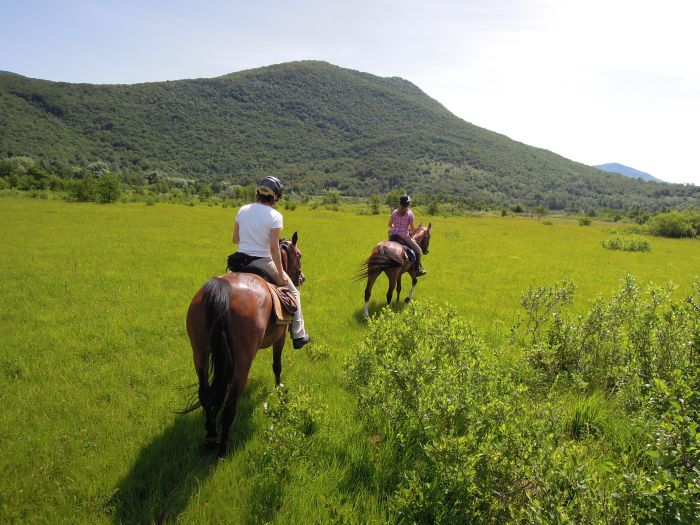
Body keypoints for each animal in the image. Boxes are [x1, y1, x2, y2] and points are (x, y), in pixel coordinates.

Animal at [185, 231, 304, 456]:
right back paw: (222, 450)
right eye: (299, 255)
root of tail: (222, 290)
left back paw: (211, 435)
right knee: (231, 404)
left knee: (205, 393)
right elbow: (277, 365)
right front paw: (278, 387)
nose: (301, 278)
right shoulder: (281, 337)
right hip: (244, 358)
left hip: (200, 352)